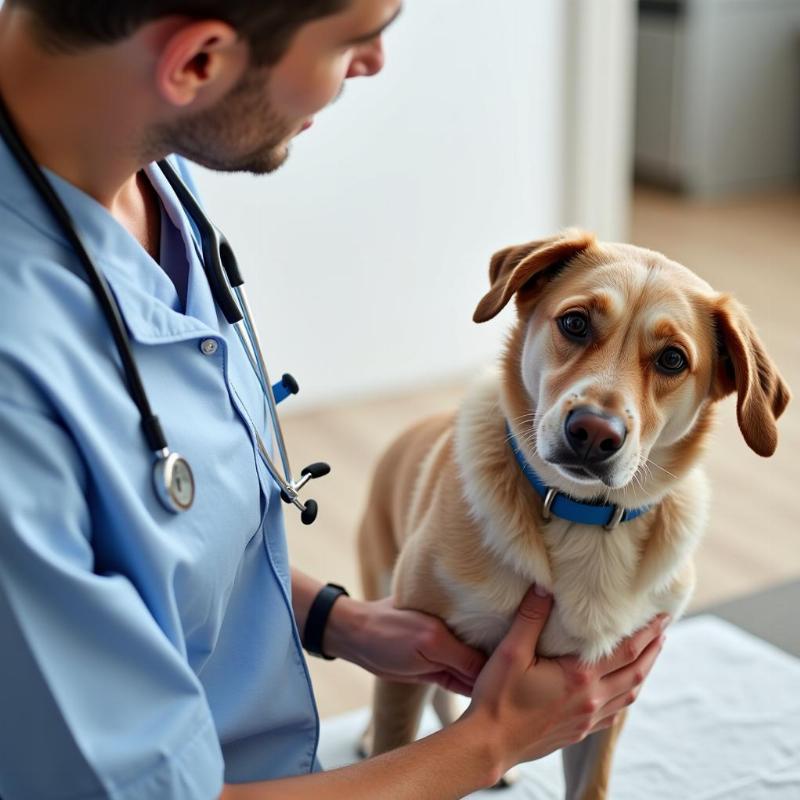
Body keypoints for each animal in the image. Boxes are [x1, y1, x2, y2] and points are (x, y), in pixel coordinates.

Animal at [360, 228, 792, 796]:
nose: (593, 433)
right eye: (575, 323)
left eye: (673, 360)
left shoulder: (606, 700)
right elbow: (397, 736)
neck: (584, 521)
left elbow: (590, 783)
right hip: (380, 592)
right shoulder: (409, 644)